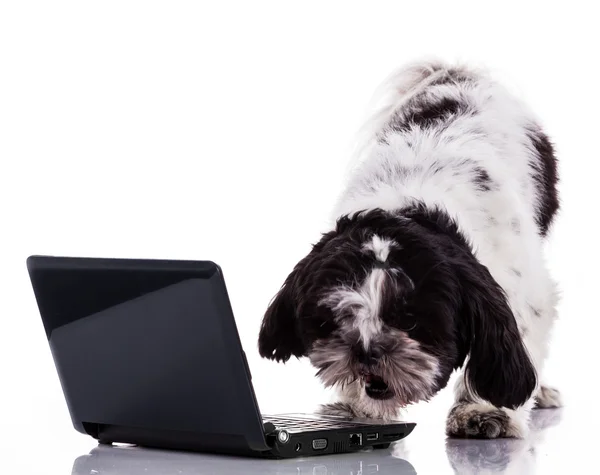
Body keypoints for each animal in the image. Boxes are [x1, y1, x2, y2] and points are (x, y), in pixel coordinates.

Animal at [258, 61, 564, 440]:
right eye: (337, 319)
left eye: (410, 319)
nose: (367, 350)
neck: (412, 208)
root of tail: (453, 72)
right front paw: (357, 409)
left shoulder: (521, 286)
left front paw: (484, 409)